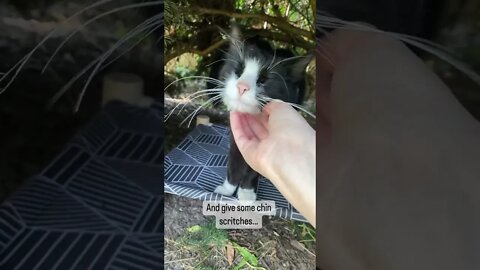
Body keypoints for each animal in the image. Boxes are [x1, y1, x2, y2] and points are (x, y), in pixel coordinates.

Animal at [213, 28, 314, 200]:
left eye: (264, 79)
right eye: (238, 71)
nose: (242, 86)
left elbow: (253, 168)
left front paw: (246, 193)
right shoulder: (236, 134)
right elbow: (234, 159)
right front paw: (227, 189)